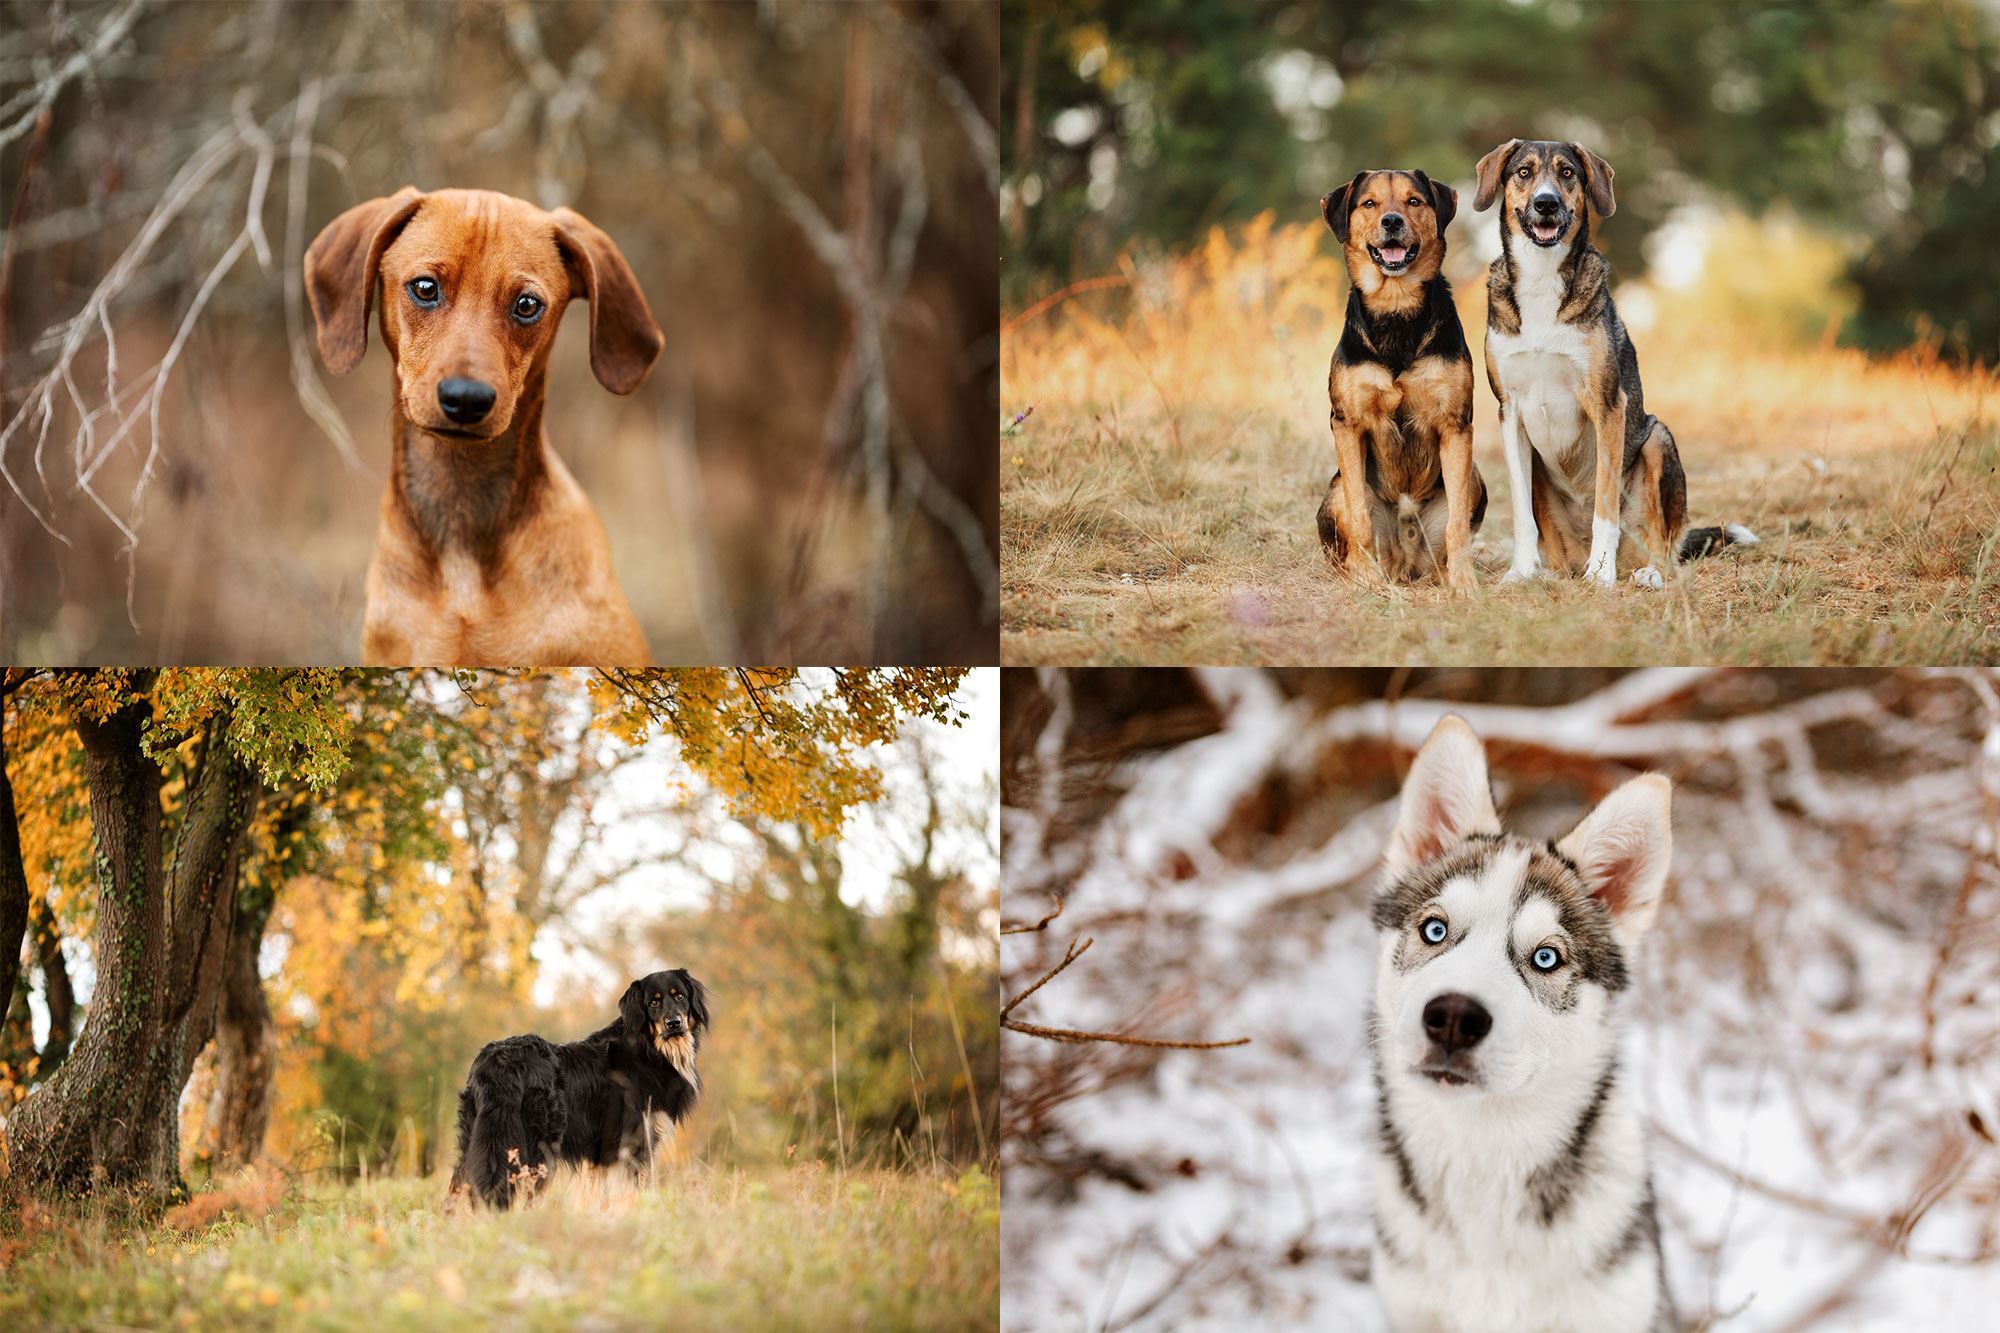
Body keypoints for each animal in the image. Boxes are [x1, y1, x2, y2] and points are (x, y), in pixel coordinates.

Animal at [450, 964, 708, 1200]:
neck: (649, 1050)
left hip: (478, 1137)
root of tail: (494, 1062)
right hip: (533, 1146)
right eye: (653, 1003)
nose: (674, 1023)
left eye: (680, 996)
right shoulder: (630, 1142)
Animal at [1312, 166, 1488, 588]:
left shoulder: (1456, 426)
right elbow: (1359, 517)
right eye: (1369, 203)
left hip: (1475, 477)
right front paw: (1365, 579)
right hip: (1335, 490)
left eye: (1413, 201)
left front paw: (1465, 583)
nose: (1392, 222)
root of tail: (1405, 563)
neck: (1396, 307)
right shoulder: (1347, 424)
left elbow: (1458, 526)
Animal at [1472, 139, 1752, 588]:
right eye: (1523, 172)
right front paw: (1520, 572)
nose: (1546, 203)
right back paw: (1550, 573)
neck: (1541, 278)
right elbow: (1520, 513)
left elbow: (1605, 505)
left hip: (1657, 439)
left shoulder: (1607, 405)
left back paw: (1644, 573)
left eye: (1567, 172)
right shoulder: (1509, 411)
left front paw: (1600, 574)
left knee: (1662, 545)